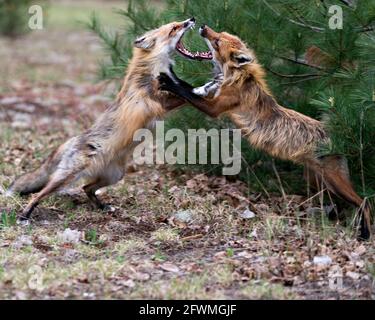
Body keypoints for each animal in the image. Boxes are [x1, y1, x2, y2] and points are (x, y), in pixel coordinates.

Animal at [159, 25, 374, 240]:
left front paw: (168, 81)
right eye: (219, 33)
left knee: (365, 202)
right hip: (317, 181)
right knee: (337, 204)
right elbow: (188, 88)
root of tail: (338, 135)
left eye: (217, 41)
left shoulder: (215, 108)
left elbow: (184, 90)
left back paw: (364, 233)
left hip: (334, 182)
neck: (236, 77)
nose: (203, 27)